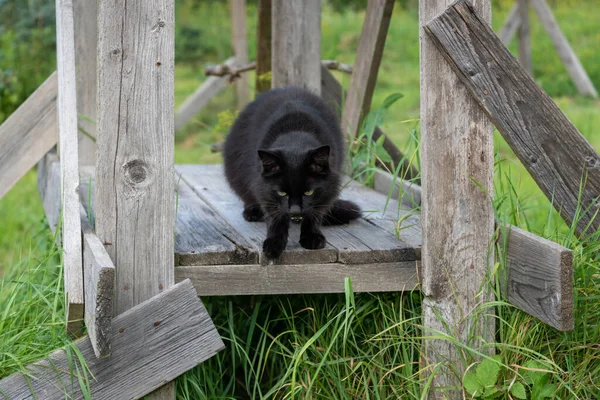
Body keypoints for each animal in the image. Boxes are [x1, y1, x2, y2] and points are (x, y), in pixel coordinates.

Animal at [221, 86, 358, 260]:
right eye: (281, 192)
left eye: (308, 192)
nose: (295, 211)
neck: (295, 136)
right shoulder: (265, 190)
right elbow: (275, 218)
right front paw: (273, 244)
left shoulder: (328, 190)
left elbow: (315, 215)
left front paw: (312, 237)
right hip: (236, 173)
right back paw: (252, 212)